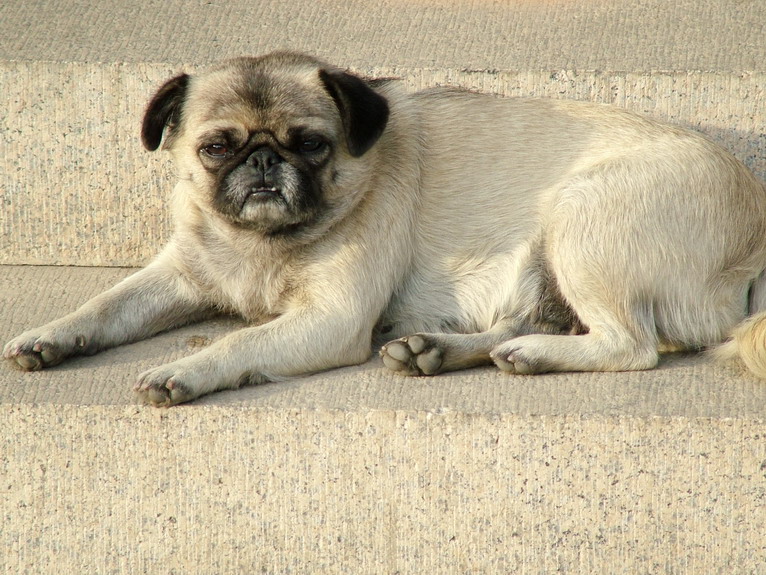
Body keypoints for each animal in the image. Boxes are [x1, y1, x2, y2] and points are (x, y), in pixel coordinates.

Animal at [4, 51, 766, 408]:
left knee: (631, 345)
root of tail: (751, 247)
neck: (261, 245)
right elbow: (104, 306)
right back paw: (441, 350)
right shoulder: (177, 276)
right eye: (215, 147)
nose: (263, 161)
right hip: (545, 256)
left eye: (311, 145)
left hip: (581, 215)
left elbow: (242, 341)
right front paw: (52, 337)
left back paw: (531, 355)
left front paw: (185, 369)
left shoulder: (332, 318)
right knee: (531, 322)